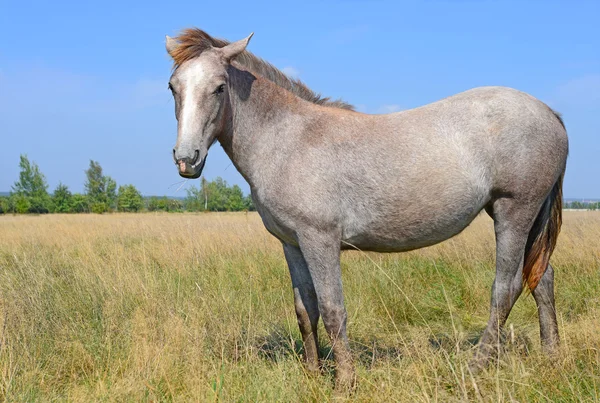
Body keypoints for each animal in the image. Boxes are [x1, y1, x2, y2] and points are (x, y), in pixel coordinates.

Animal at [164, 29, 568, 392]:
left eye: (219, 87)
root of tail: (550, 112)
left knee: (506, 288)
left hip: (514, 212)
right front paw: (312, 375)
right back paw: (551, 357)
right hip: (529, 218)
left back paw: (476, 367)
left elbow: (332, 310)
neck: (289, 140)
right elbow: (305, 309)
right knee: (541, 279)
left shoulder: (320, 241)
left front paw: (344, 382)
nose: (187, 159)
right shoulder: (292, 244)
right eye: (173, 87)